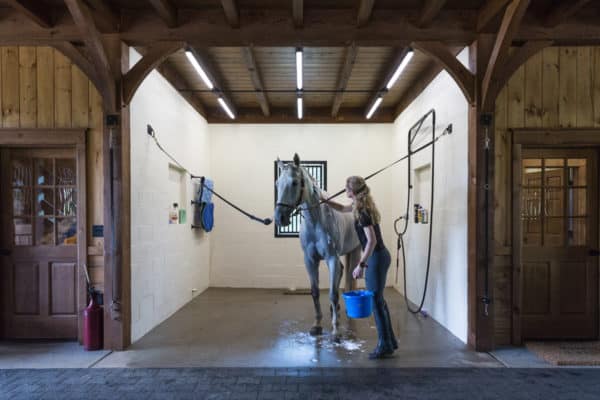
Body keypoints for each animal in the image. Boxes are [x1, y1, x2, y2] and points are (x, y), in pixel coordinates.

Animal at [276, 154, 360, 338]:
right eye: (277, 183)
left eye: (294, 182)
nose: (279, 218)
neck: (316, 221)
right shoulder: (310, 260)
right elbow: (314, 292)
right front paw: (317, 325)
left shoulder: (331, 258)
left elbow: (332, 293)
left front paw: (336, 330)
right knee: (342, 271)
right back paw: (335, 309)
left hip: (355, 252)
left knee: (349, 278)